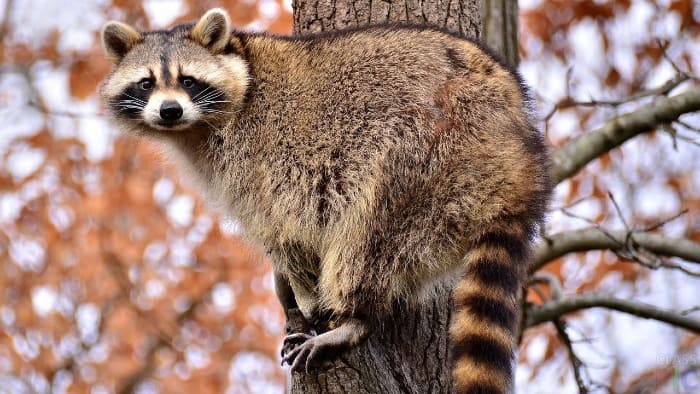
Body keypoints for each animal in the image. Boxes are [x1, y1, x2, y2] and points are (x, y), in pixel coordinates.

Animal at [101, 7, 548, 392]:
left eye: (189, 80)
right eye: (146, 83)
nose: (170, 111)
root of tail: (522, 156)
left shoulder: (266, 157)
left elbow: (288, 229)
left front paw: (303, 291)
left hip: (431, 151)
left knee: (369, 232)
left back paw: (355, 318)